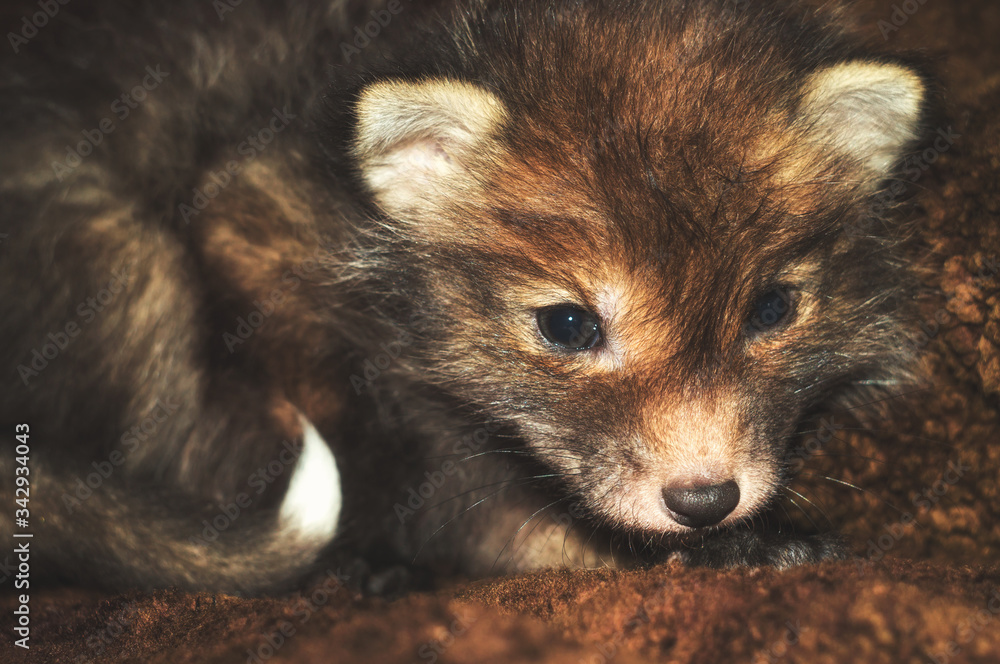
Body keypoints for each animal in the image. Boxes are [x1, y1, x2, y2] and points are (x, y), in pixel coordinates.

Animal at [0, 0, 933, 594]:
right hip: (133, 265)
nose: (705, 503)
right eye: (568, 325)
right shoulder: (244, 236)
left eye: (771, 310)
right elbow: (458, 495)